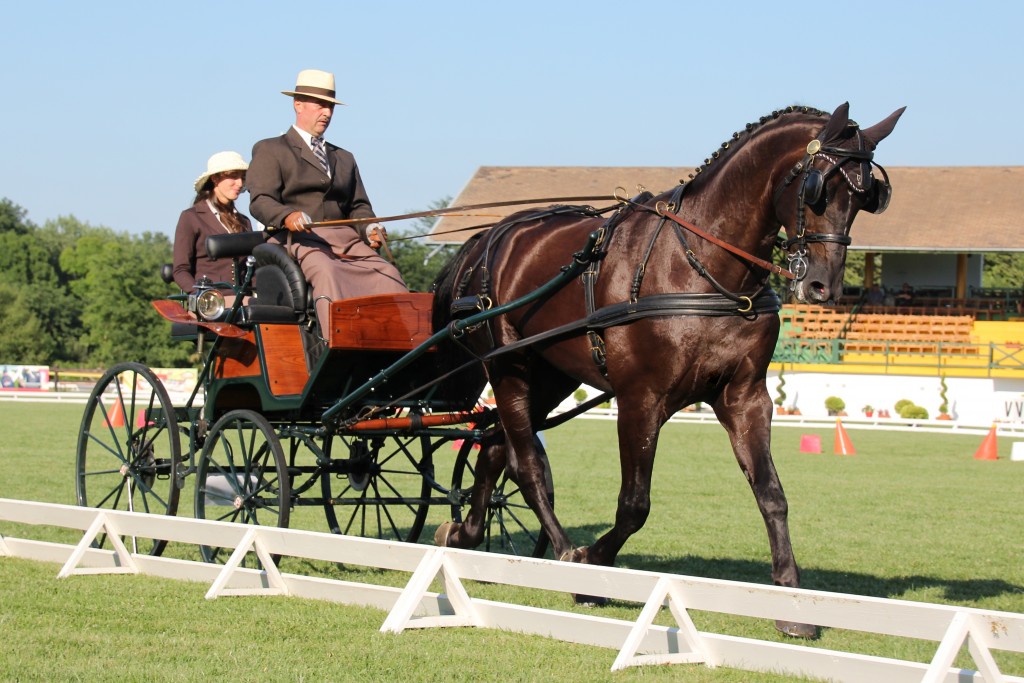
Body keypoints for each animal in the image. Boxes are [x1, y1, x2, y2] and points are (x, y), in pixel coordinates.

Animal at [432, 102, 905, 634]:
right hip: (509, 365)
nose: (824, 285)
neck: (704, 267)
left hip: (552, 374)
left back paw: (466, 534)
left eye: (867, 196)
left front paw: (791, 601)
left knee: (496, 447)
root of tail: (487, 239)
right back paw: (564, 552)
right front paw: (592, 569)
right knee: (525, 462)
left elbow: (772, 494)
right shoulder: (641, 399)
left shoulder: (746, 398)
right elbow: (634, 504)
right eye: (817, 187)